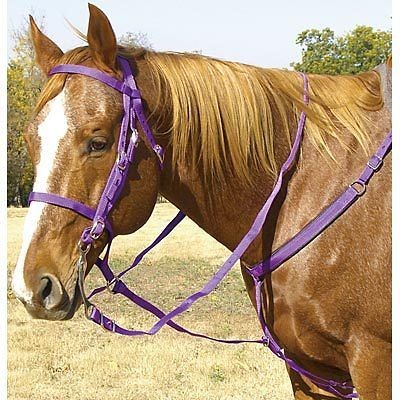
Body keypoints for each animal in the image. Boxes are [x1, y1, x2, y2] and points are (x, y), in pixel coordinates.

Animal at [11, 3, 390, 400]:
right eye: (30, 140)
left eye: (98, 142)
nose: (31, 286)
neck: (307, 184)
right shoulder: (308, 370)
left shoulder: (373, 361)